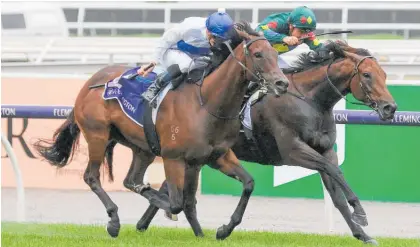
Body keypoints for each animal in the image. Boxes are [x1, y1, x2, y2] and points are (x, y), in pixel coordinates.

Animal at [32, 22, 290, 239]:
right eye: (258, 54)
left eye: (276, 54)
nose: (282, 83)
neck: (207, 103)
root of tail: (90, 82)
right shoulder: (173, 158)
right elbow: (179, 202)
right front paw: (164, 211)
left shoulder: (214, 157)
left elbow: (246, 184)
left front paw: (218, 231)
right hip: (97, 135)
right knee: (92, 177)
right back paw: (114, 221)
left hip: (141, 147)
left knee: (131, 180)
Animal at [109, 39, 398, 244]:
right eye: (368, 75)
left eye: (384, 75)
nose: (390, 108)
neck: (309, 100)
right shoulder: (293, 151)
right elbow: (335, 172)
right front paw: (360, 211)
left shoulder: (325, 150)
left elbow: (335, 190)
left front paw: (363, 234)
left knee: (170, 185)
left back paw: (145, 222)